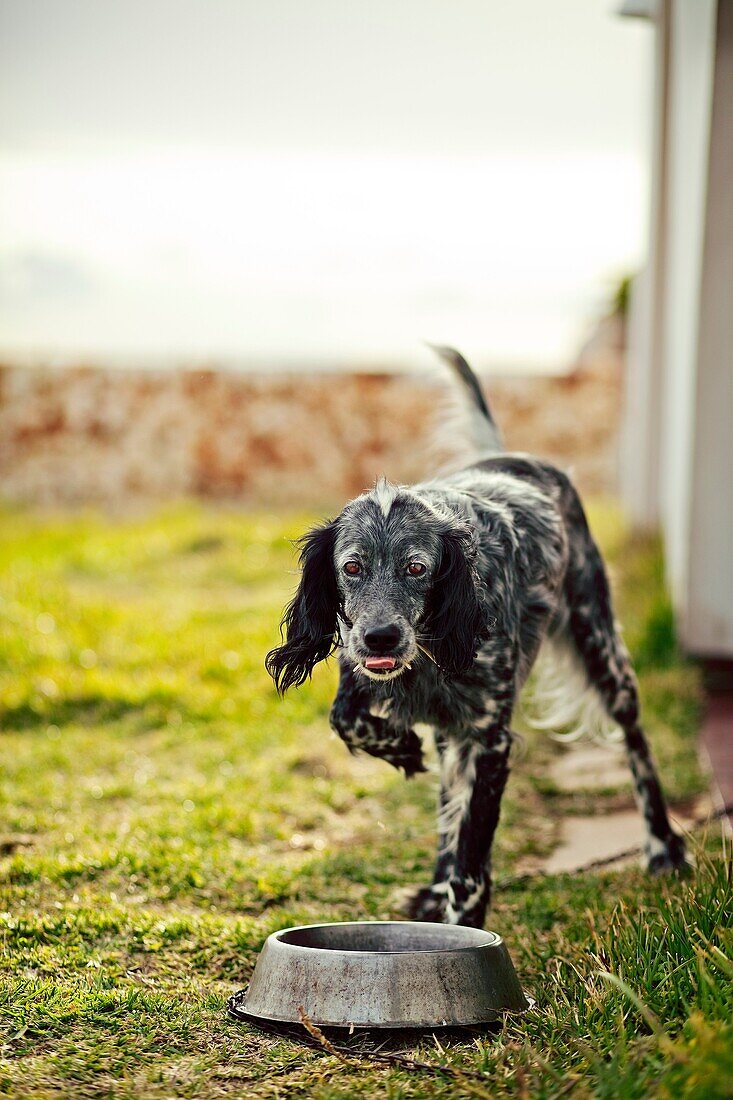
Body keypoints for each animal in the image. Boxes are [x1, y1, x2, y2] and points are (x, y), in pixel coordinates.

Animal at [264, 347, 686, 924]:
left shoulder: (490, 738)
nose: (381, 638)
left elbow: (472, 862)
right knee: (448, 798)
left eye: (417, 568)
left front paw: (463, 924)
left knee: (637, 744)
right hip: (455, 728)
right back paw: (432, 887)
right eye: (351, 567)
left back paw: (664, 846)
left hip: (602, 651)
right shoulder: (366, 680)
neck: (427, 654)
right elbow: (347, 720)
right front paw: (402, 750)